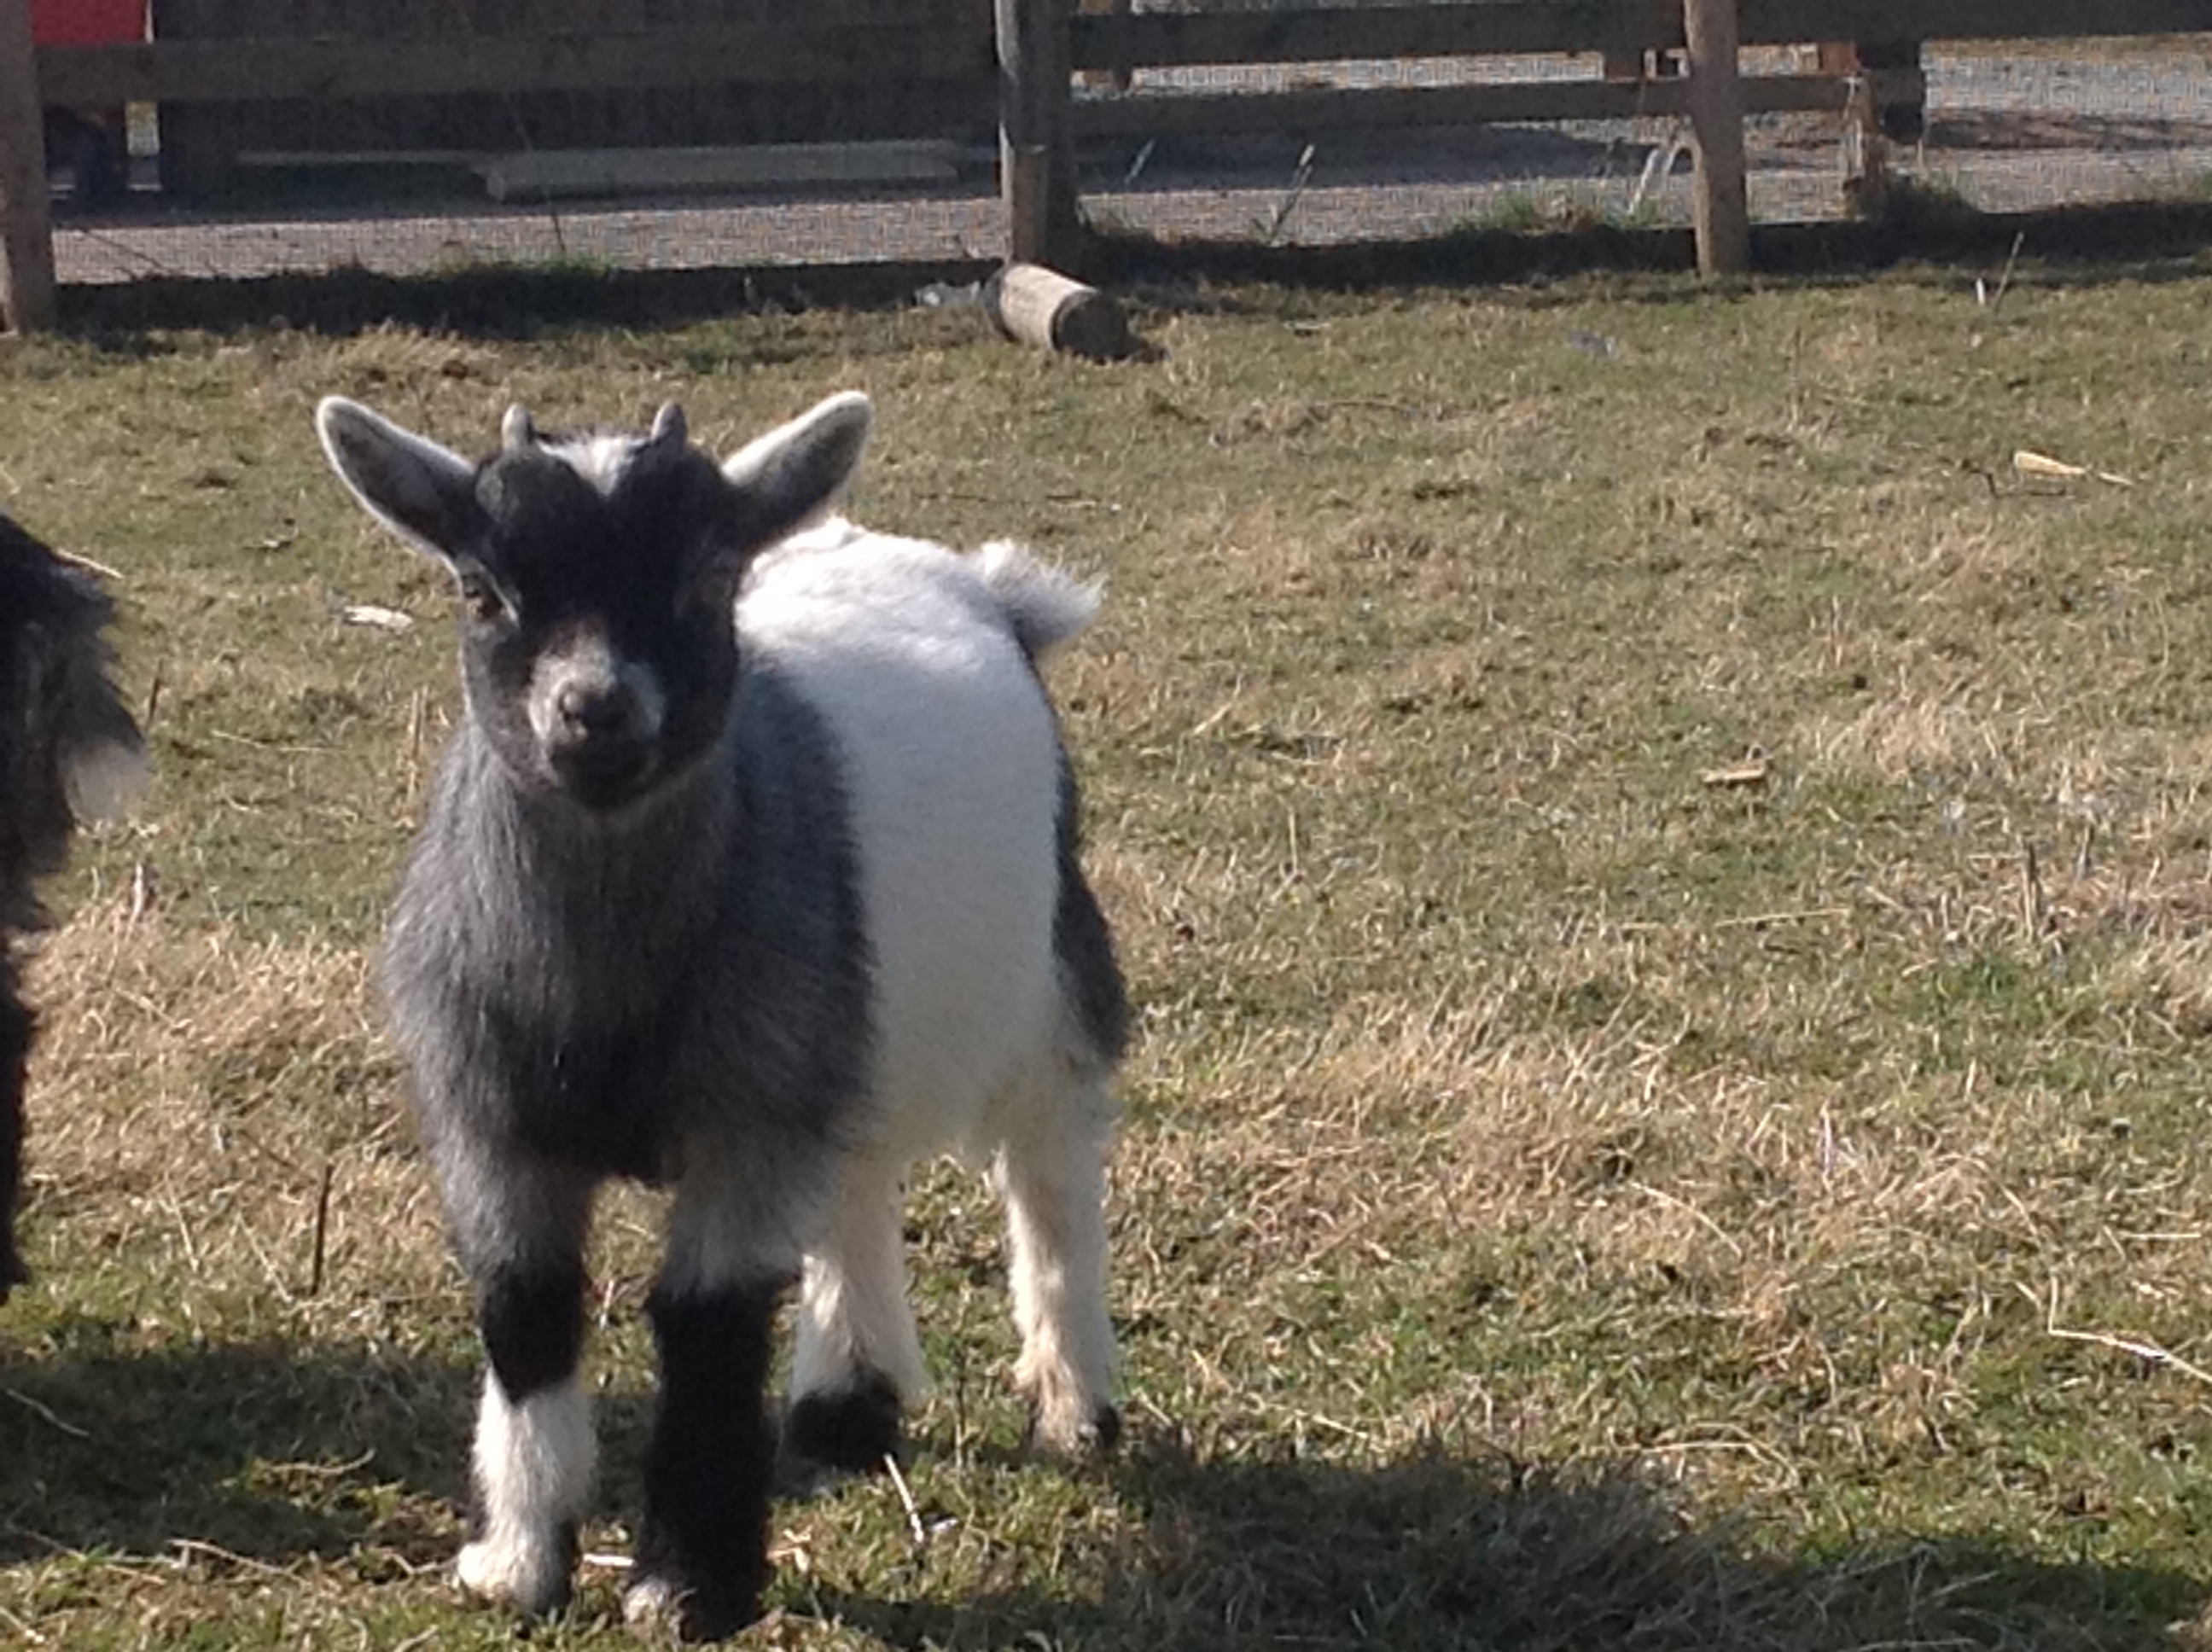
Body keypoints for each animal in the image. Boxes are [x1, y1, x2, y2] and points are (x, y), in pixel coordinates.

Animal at [316, 391, 1127, 1640]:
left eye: (703, 580)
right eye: (484, 588)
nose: (594, 712)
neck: (601, 999)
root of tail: (987, 586)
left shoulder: (748, 1117)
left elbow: (705, 1320)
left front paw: (687, 1585)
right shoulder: (493, 1121)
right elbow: (525, 1307)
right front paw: (519, 1561)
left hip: (1049, 978)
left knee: (1050, 1172)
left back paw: (1075, 1402)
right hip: (839, 1023)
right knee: (856, 1177)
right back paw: (847, 1408)